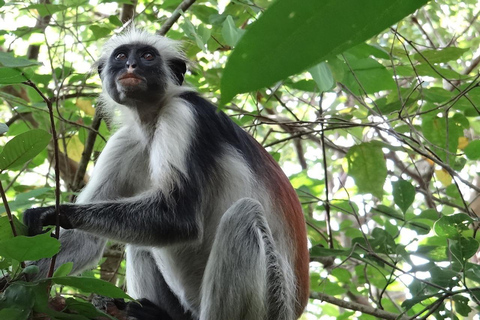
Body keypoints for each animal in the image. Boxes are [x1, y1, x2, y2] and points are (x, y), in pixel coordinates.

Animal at [22, 28, 310, 318]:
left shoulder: (183, 112)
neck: (152, 121)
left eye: (148, 56)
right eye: (121, 56)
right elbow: (87, 239)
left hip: (275, 299)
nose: (131, 65)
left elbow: (180, 216)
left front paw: (55, 212)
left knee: (244, 213)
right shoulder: (125, 142)